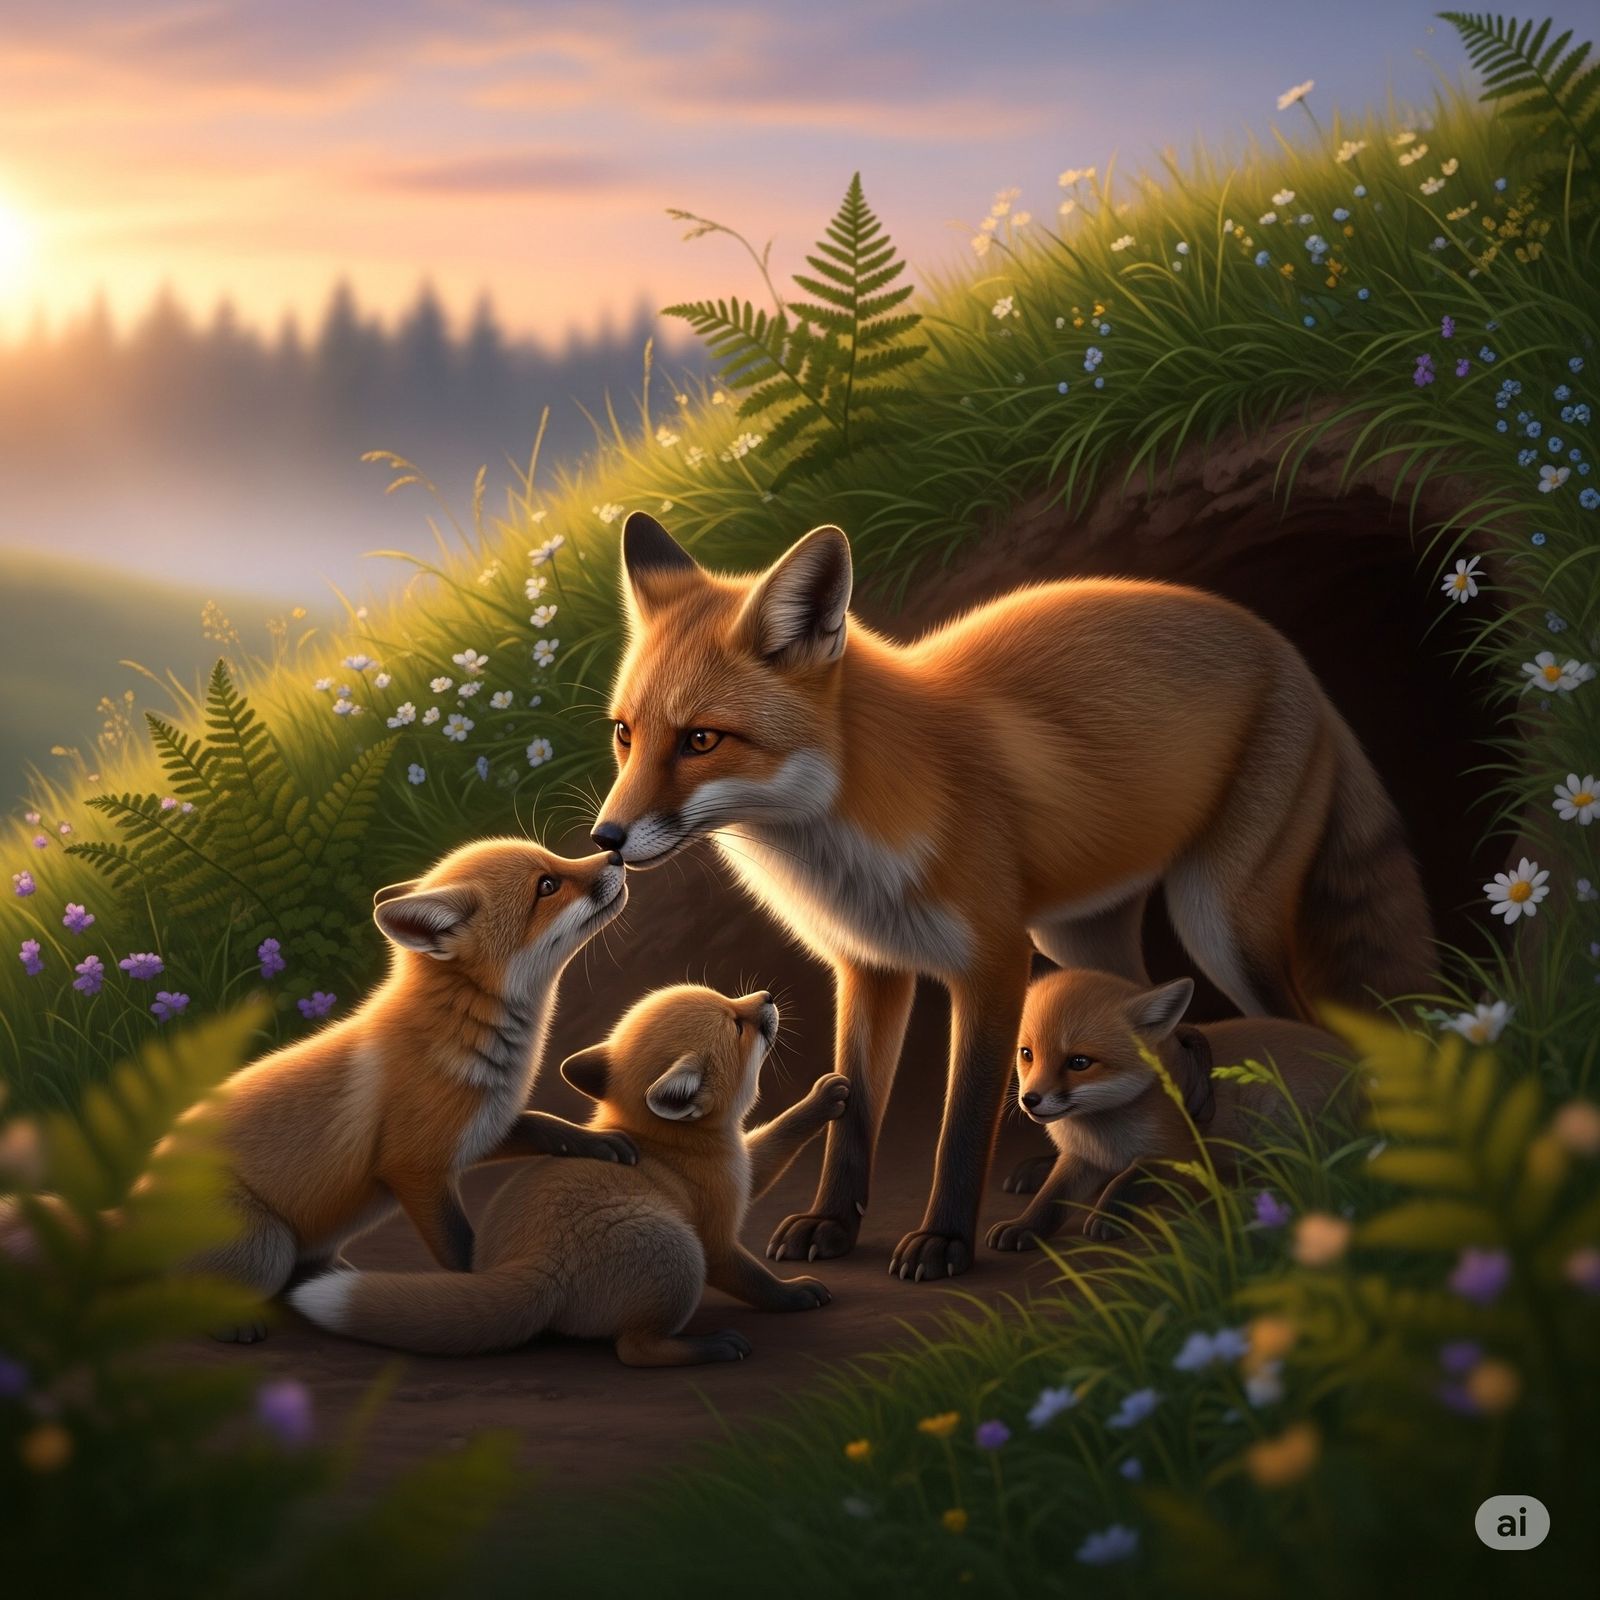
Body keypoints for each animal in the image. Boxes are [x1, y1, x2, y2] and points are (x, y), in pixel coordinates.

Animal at [178, 838, 635, 1341]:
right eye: (547, 886)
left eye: (556, 858)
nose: (614, 854)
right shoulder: (413, 1168)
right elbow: (461, 1251)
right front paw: (485, 1300)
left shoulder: (476, 1133)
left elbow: (541, 1122)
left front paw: (594, 1142)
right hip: (265, 1245)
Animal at [290, 985, 850, 1364]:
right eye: (737, 1024)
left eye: (730, 999)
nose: (768, 997)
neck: (664, 1142)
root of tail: (534, 1263)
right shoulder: (716, 1234)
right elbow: (755, 1277)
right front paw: (795, 1294)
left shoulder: (744, 1171)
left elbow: (776, 1138)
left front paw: (825, 1099)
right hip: (679, 1253)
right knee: (633, 1350)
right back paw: (707, 1346)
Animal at [988, 966, 1354, 1249]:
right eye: (1027, 1054)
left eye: (1079, 1062)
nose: (1030, 1099)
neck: (1105, 1135)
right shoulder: (1081, 1158)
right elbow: (1050, 1197)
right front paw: (1024, 1225)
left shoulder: (1180, 1154)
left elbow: (1128, 1180)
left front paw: (1109, 1215)